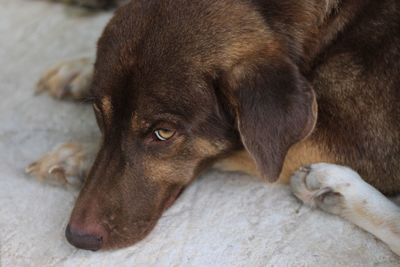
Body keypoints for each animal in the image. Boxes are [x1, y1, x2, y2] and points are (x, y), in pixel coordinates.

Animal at [25, 0, 400, 255]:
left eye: (164, 133)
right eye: (98, 114)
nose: (78, 238)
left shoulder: (358, 145)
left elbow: (238, 148)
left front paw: (76, 155)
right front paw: (78, 70)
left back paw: (334, 187)